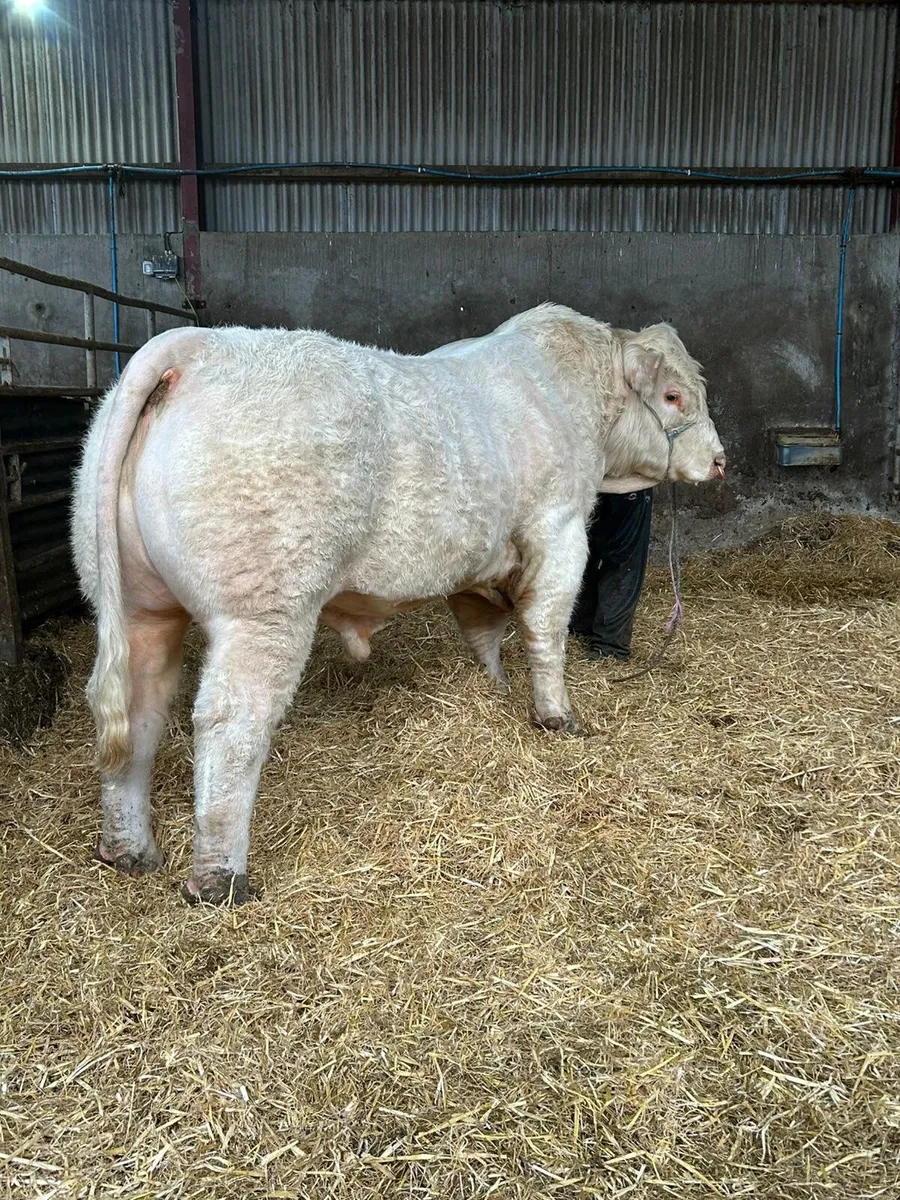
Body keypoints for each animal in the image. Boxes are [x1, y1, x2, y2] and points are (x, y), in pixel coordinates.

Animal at [71, 304, 725, 905]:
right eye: (673, 396)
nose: (719, 461)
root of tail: (196, 345)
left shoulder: (477, 561)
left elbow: (483, 629)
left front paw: (492, 690)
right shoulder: (558, 526)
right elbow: (546, 626)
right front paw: (557, 716)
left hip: (137, 605)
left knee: (138, 710)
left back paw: (129, 850)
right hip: (264, 608)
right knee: (230, 721)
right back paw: (220, 878)